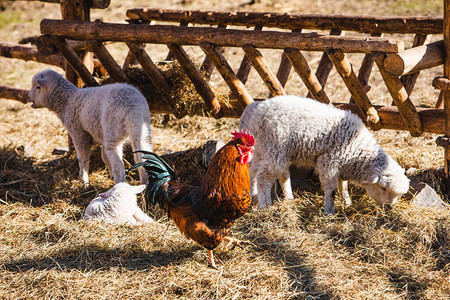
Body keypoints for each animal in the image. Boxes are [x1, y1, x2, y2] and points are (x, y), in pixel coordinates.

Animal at [241, 95, 410, 214]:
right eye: (383, 188)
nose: (389, 207)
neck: (358, 150)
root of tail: (257, 111)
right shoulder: (329, 162)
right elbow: (331, 188)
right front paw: (329, 210)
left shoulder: (341, 165)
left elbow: (343, 186)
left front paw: (347, 202)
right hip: (274, 149)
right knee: (264, 178)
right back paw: (265, 205)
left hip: (263, 150)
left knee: (255, 171)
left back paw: (258, 196)